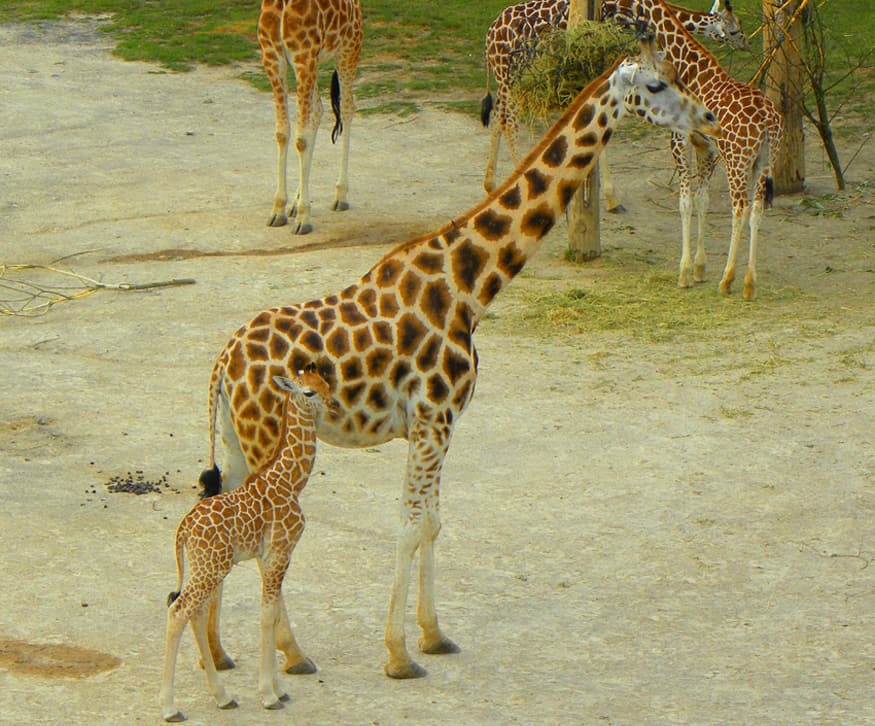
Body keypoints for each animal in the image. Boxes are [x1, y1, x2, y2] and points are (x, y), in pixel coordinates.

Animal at [157, 370, 336, 724]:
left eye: (326, 382)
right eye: (309, 391)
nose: (334, 405)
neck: (291, 481)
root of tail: (183, 530)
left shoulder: (273, 556)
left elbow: (275, 613)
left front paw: (279, 689)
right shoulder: (280, 551)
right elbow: (268, 615)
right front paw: (268, 695)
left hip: (207, 567)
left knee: (196, 612)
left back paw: (223, 697)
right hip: (212, 567)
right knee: (179, 610)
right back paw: (170, 707)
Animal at [202, 35, 724, 684]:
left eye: (678, 75)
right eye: (655, 87)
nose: (708, 120)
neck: (469, 284)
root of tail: (221, 364)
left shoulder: (440, 426)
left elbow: (433, 522)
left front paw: (433, 636)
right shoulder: (433, 420)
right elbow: (410, 526)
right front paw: (399, 656)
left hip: (236, 441)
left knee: (222, 515)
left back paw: (219, 653)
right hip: (266, 441)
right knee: (262, 531)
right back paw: (293, 654)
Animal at [256, 0, 362, 235]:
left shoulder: (303, 58)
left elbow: (300, 139)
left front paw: (304, 218)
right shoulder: (273, 58)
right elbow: (282, 133)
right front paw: (279, 210)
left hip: (348, 47)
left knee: (347, 107)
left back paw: (340, 195)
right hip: (317, 60)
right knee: (318, 109)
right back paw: (296, 202)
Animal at [482, 0, 748, 208]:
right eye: (735, 30)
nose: (747, 43)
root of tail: (488, 38)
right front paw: (611, 199)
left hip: (504, 78)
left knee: (497, 118)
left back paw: (491, 185)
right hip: (511, 77)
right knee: (510, 123)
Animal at [604, 0, 784, 298]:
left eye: (626, 6)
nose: (607, 15)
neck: (689, 67)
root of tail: (769, 121)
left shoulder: (679, 139)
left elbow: (685, 202)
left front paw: (685, 272)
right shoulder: (706, 147)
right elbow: (702, 200)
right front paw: (700, 268)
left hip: (737, 159)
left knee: (740, 208)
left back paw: (728, 280)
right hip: (765, 160)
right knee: (757, 209)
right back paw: (749, 283)